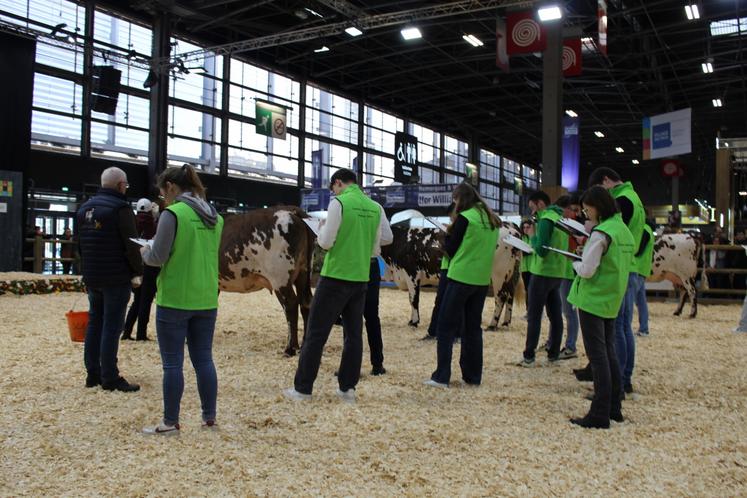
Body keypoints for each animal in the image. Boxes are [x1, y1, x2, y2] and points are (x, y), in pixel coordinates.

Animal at [221, 208, 318, 356]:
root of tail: (293, 212)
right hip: (304, 272)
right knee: (306, 303)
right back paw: (303, 346)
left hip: (280, 277)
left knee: (291, 304)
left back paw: (290, 348)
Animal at [382, 222, 524, 330]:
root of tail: (510, 226)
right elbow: (411, 299)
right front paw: (412, 321)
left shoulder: (412, 274)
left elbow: (413, 300)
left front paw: (414, 322)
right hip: (510, 274)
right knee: (510, 296)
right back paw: (505, 323)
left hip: (498, 274)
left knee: (500, 297)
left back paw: (492, 325)